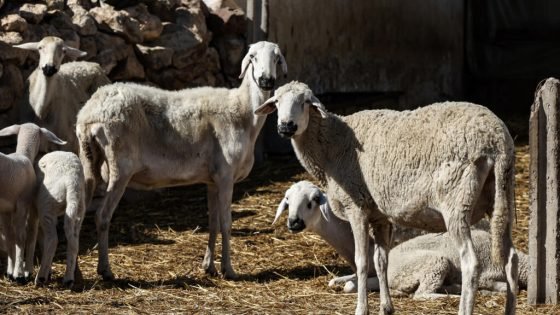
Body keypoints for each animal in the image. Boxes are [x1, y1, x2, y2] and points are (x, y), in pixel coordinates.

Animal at [0, 123, 66, 284]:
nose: (47, 150)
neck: (24, 154)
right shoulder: (23, 204)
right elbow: (21, 237)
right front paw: (19, 274)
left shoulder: (5, 209)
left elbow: (9, 236)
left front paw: (10, 271)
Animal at [33, 151, 86, 288]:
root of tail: (72, 180)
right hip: (79, 208)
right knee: (73, 241)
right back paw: (69, 279)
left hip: (47, 205)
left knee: (52, 240)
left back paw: (40, 277)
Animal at [76, 41, 286, 282]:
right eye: (252, 57)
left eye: (277, 58)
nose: (266, 80)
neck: (244, 111)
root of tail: (90, 113)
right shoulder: (225, 176)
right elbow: (226, 224)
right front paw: (228, 269)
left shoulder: (213, 179)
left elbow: (213, 223)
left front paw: (209, 267)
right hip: (120, 167)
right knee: (101, 216)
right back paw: (105, 270)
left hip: (88, 160)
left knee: (76, 215)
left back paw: (76, 273)